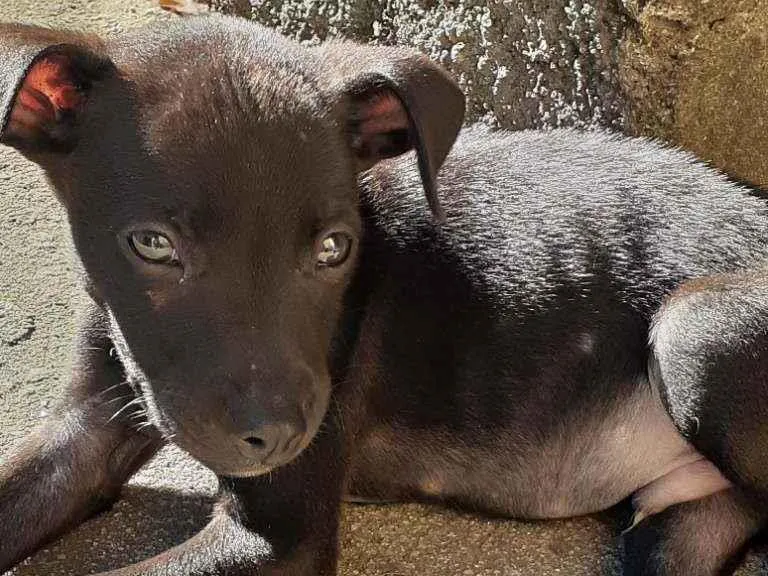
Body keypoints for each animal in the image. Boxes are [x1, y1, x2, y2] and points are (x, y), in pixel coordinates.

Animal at [2, 14, 768, 576]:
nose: (276, 436)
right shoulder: (82, 429)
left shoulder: (279, 537)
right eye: (152, 245)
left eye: (334, 248)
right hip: (681, 524)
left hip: (694, 324)